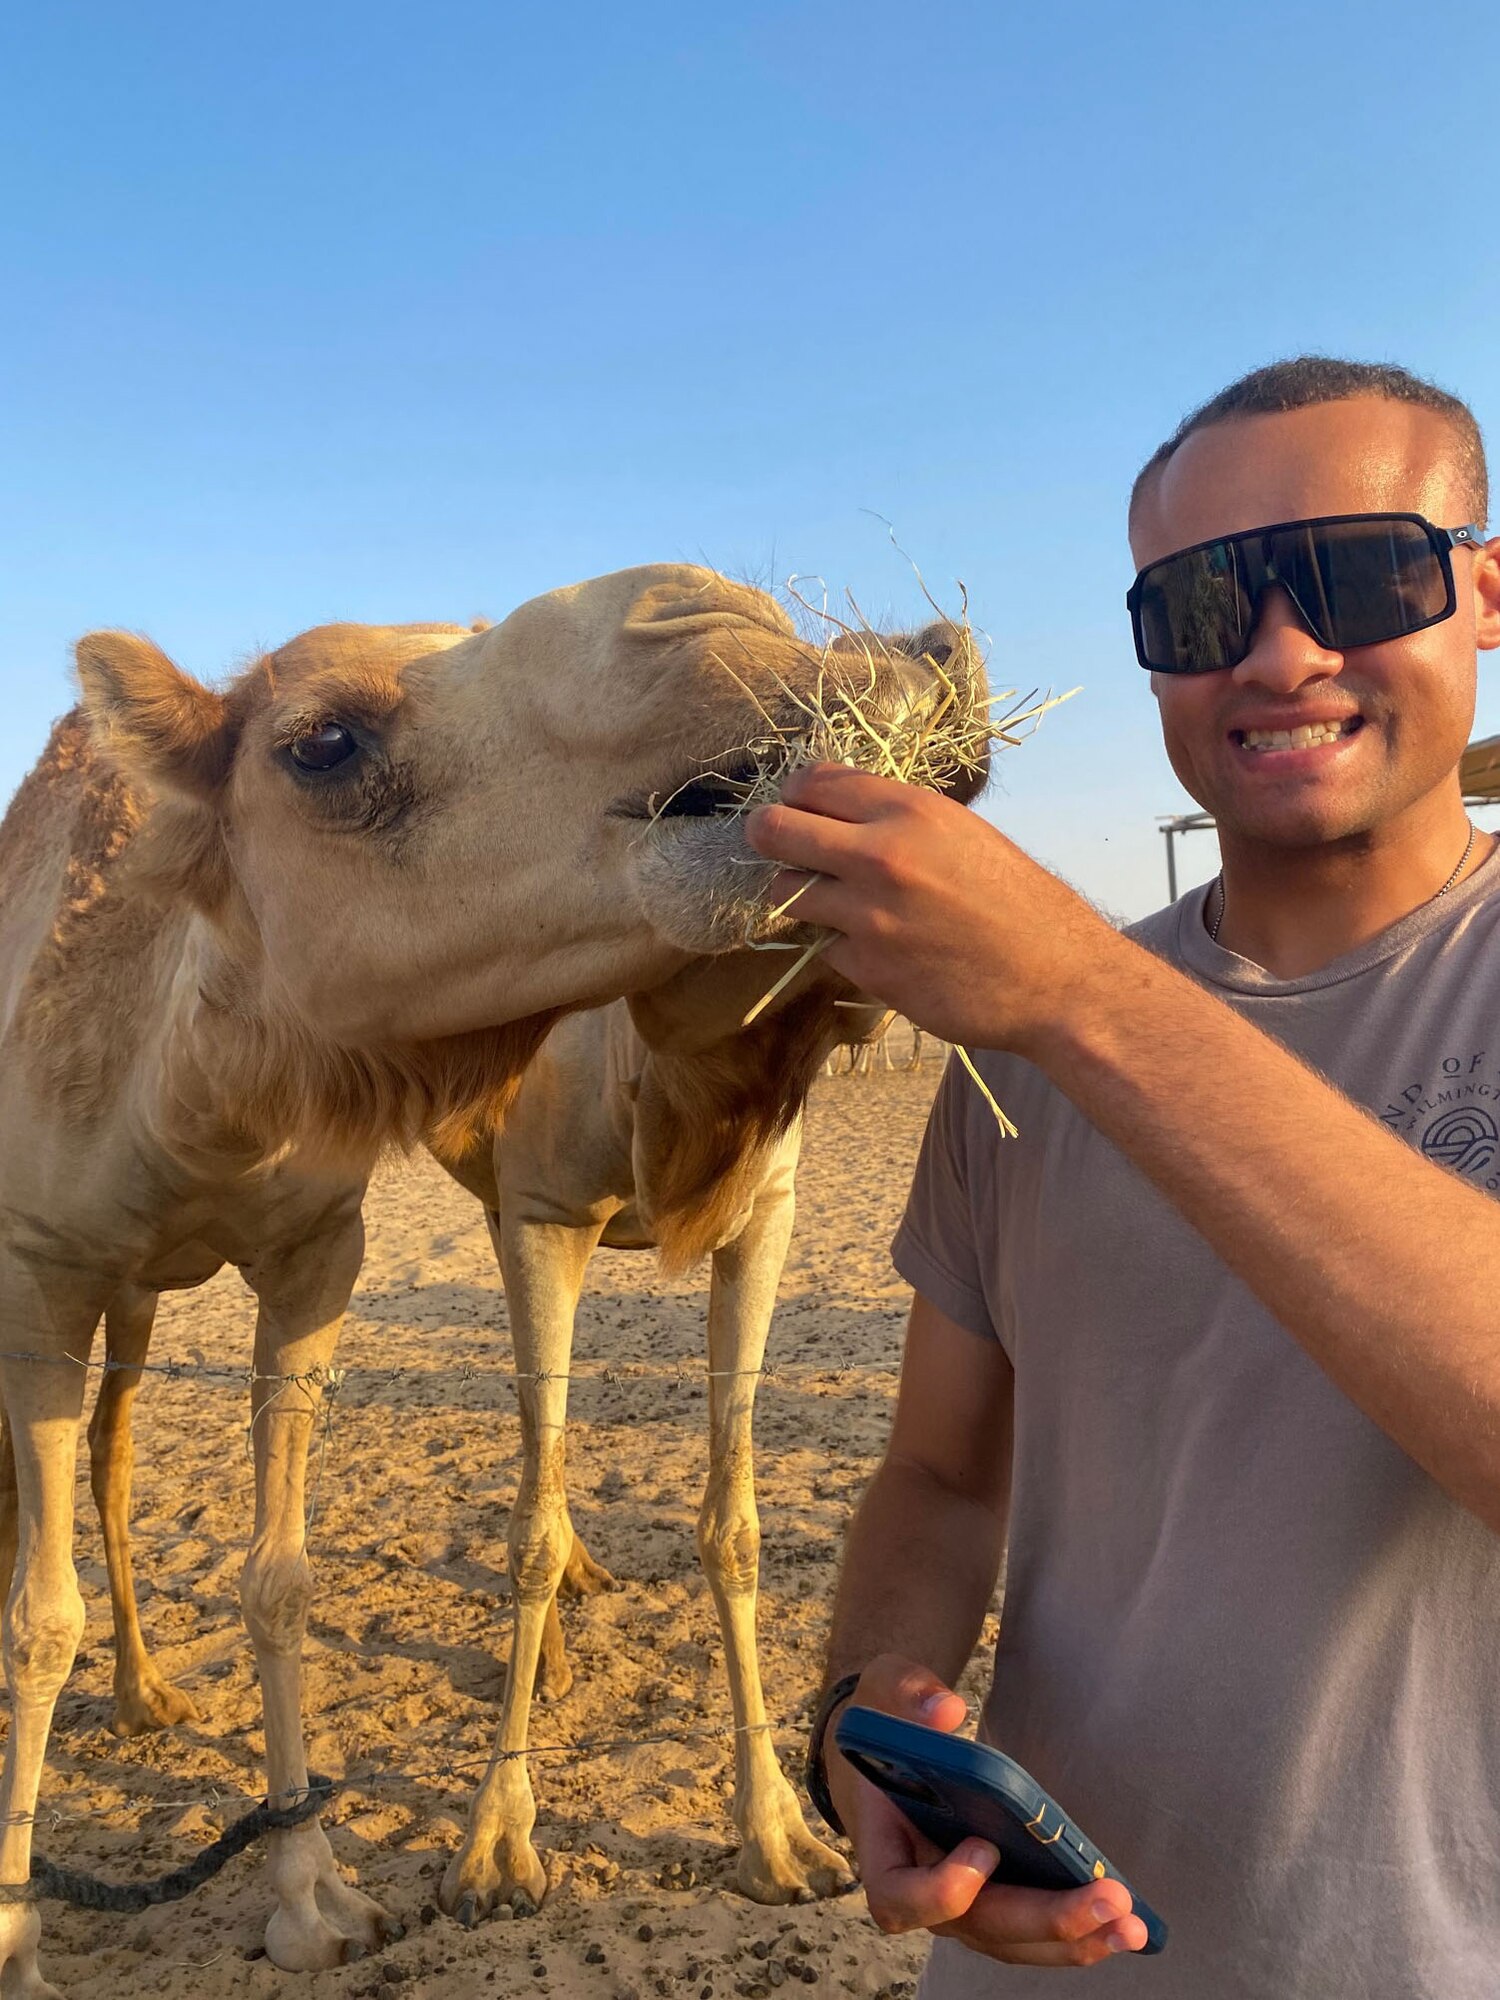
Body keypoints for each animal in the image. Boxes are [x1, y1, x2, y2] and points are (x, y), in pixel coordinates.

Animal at [0, 568, 976, 2000]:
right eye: (323, 742)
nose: (720, 618)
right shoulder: (527, 1219)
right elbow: (44, 1611)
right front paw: (494, 1851)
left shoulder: (759, 1219)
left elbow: (727, 1524)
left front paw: (782, 1837)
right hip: (134, 1284)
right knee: (118, 1467)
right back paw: (145, 1695)